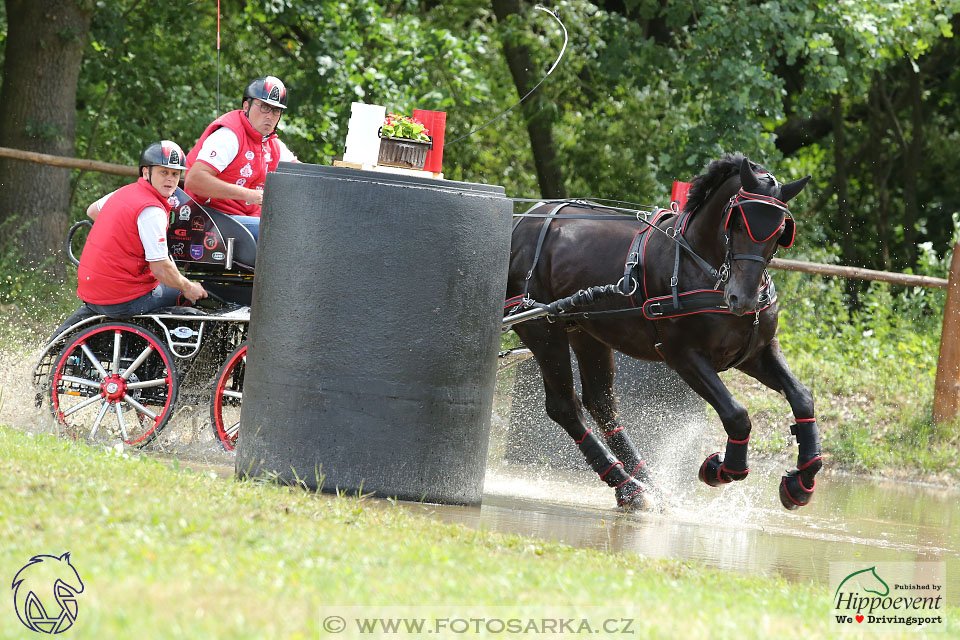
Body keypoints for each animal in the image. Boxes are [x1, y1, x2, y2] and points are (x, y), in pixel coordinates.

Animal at [506, 154, 820, 510]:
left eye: (781, 230)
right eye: (738, 223)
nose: (744, 300)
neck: (700, 264)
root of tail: (523, 223)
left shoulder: (755, 352)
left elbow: (802, 398)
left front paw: (802, 481)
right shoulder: (683, 356)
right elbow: (736, 414)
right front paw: (719, 468)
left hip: (586, 332)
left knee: (602, 404)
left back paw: (647, 485)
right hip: (543, 331)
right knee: (564, 407)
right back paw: (627, 486)